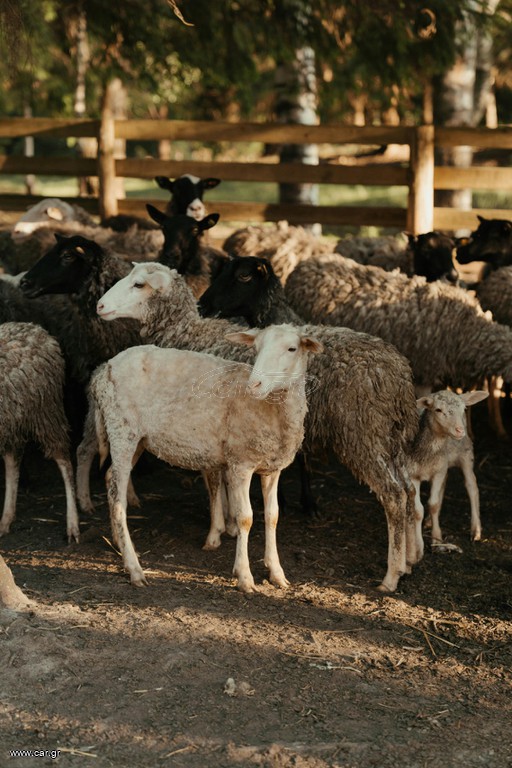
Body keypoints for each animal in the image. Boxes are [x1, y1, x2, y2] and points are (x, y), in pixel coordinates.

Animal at [0, 322, 80, 543]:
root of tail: (38, 329)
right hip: (12, 420)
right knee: (13, 459)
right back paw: (6, 519)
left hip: (46, 411)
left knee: (64, 460)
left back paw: (73, 524)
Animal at [82, 324, 322, 591]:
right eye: (256, 348)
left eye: (292, 348)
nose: (254, 384)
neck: (273, 410)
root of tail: (105, 369)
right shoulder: (240, 462)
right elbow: (245, 518)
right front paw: (244, 576)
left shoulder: (272, 467)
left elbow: (273, 516)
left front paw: (277, 573)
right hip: (121, 429)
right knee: (118, 498)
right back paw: (134, 568)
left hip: (138, 439)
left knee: (110, 479)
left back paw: (118, 541)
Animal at [407, 389, 489, 548]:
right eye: (438, 410)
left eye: (464, 409)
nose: (459, 430)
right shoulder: (413, 474)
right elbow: (418, 510)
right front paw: (418, 544)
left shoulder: (439, 471)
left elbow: (433, 504)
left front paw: (436, 538)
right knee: (444, 486)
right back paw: (428, 522)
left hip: (466, 453)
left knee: (472, 486)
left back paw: (475, 531)